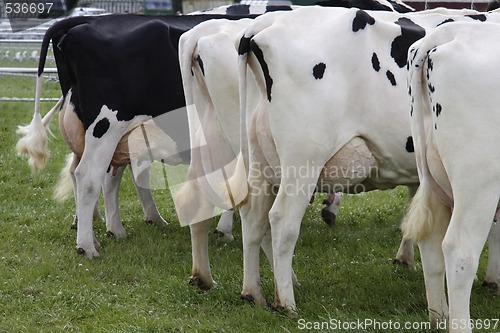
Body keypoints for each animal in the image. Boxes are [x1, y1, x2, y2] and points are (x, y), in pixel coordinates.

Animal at [402, 20, 500, 330]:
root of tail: (447, 32)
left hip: (431, 177)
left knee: (431, 243)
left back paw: (438, 318)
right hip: (479, 183)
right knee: (459, 252)